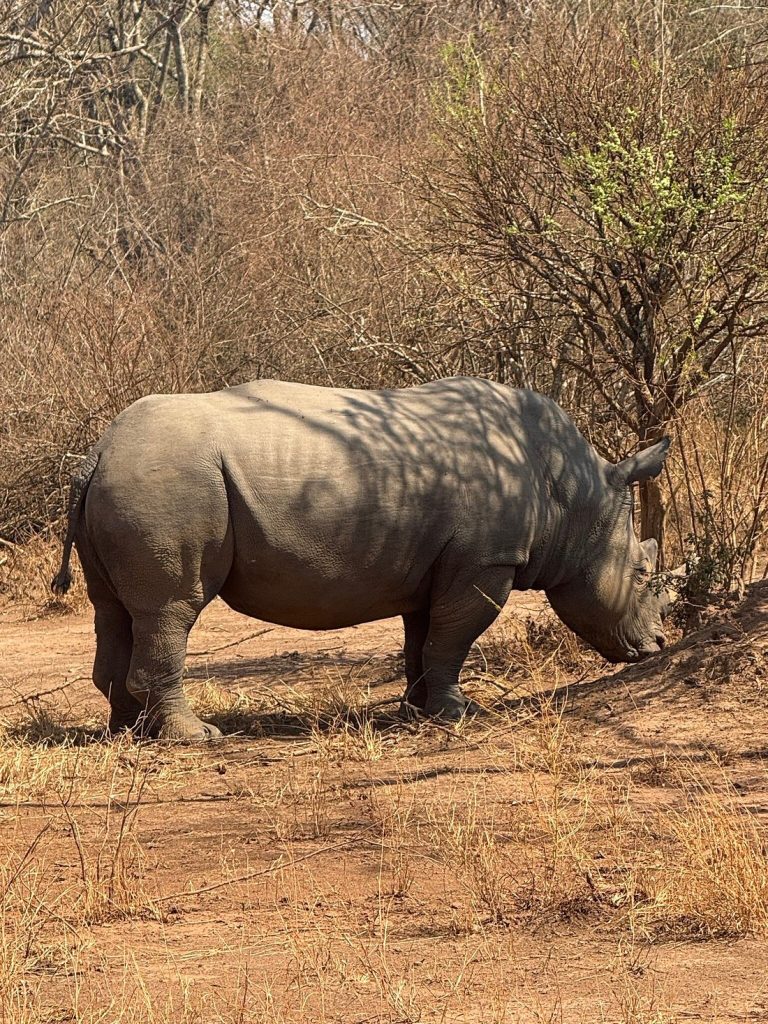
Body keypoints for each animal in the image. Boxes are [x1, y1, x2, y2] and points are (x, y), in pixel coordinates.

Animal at [52, 376, 671, 741]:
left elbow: (424, 639)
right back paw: (194, 738)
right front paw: (459, 714)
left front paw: (418, 710)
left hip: (134, 483)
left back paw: (129, 733)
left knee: (115, 610)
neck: (579, 499)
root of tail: (97, 452)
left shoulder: (443, 563)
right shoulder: (486, 561)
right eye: (642, 575)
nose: (659, 646)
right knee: (171, 610)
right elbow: (454, 637)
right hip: (169, 484)